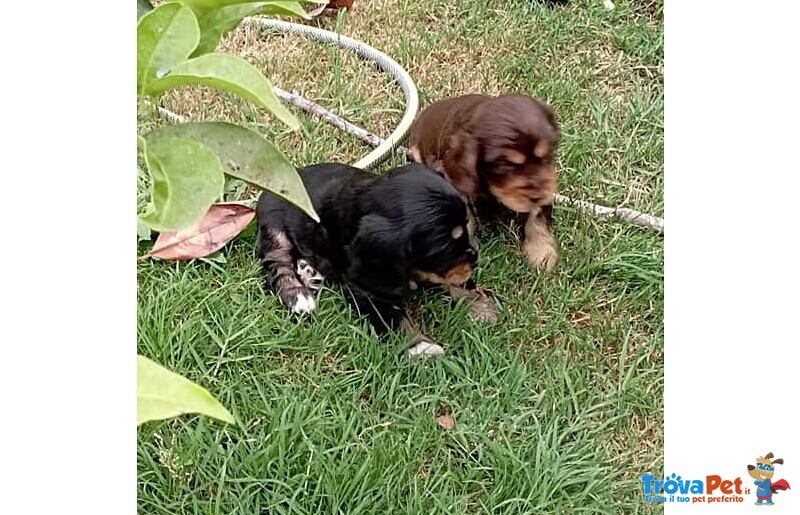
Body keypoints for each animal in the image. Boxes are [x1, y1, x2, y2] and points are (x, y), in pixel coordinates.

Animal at [260, 163, 478, 356]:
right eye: (444, 248)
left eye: (468, 224)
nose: (476, 257)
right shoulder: (364, 285)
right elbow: (391, 315)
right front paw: (421, 347)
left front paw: (477, 303)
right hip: (274, 226)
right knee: (277, 264)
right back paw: (299, 296)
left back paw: (309, 272)